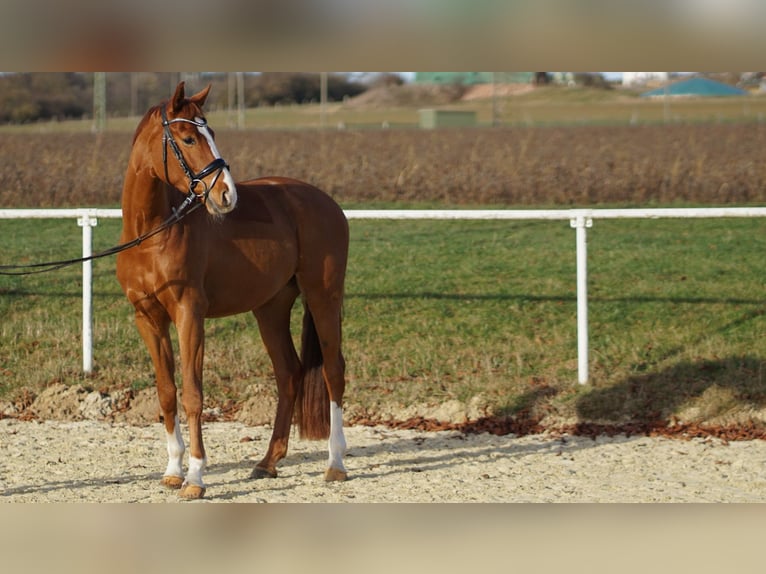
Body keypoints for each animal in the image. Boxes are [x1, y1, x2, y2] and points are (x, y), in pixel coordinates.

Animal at [116, 82, 349, 499]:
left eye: (210, 132)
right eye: (188, 138)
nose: (226, 195)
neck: (152, 233)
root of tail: (325, 202)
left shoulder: (189, 315)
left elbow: (193, 394)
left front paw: (194, 477)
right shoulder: (148, 319)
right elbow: (167, 393)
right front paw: (173, 471)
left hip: (324, 296)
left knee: (333, 370)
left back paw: (335, 463)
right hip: (270, 308)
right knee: (289, 373)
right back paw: (268, 462)